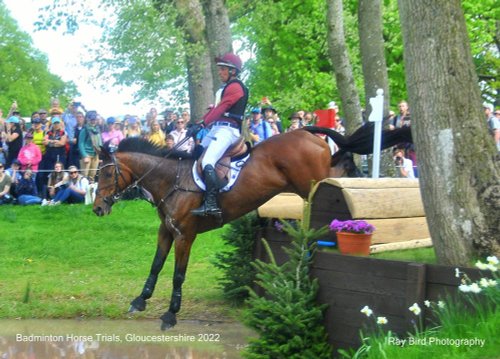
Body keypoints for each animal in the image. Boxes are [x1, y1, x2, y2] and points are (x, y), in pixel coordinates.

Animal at [93, 125, 410, 330]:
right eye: (96, 176)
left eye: (107, 174)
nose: (97, 209)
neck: (172, 180)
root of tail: (306, 133)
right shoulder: (166, 231)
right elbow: (156, 265)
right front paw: (140, 300)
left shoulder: (185, 236)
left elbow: (177, 275)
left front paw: (171, 315)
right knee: (338, 160)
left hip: (311, 181)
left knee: (334, 175)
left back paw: (355, 176)